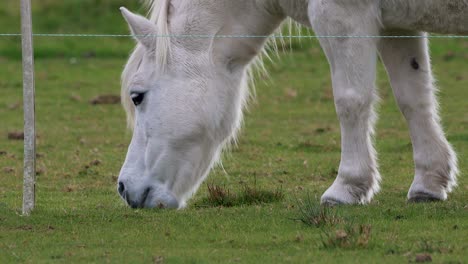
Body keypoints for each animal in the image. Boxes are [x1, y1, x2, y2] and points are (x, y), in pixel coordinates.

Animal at [116, 1, 464, 209]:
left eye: (137, 96)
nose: (124, 187)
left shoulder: (341, 17)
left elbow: (351, 101)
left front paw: (347, 187)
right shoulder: (397, 26)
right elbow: (414, 98)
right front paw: (429, 183)